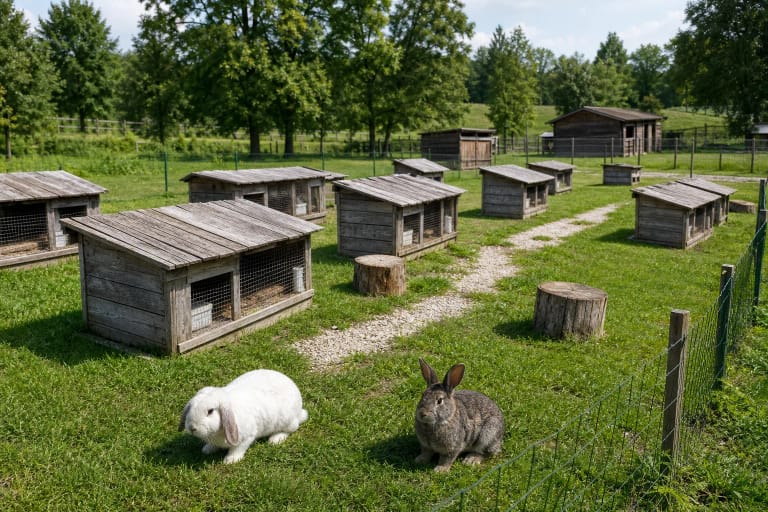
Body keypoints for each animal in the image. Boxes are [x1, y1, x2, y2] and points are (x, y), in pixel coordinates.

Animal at [179, 369, 308, 464]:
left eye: (210, 411)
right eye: (190, 407)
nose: (192, 428)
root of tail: (299, 409)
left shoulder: (247, 437)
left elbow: (237, 449)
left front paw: (230, 460)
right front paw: (207, 450)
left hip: (287, 421)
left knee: (291, 429)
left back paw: (275, 439)